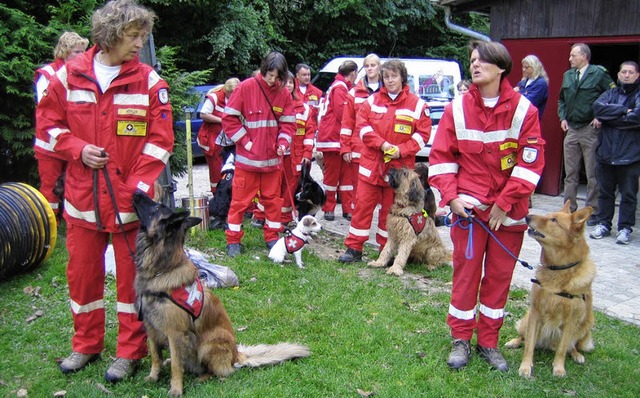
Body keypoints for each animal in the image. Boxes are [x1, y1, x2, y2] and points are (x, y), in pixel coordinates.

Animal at [132, 192, 310, 394]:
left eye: (156, 207)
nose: (136, 193)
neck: (161, 270)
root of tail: (236, 355)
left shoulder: (175, 333)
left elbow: (177, 366)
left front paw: (176, 389)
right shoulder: (151, 328)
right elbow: (155, 357)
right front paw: (153, 377)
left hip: (208, 344)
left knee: (217, 371)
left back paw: (201, 378)